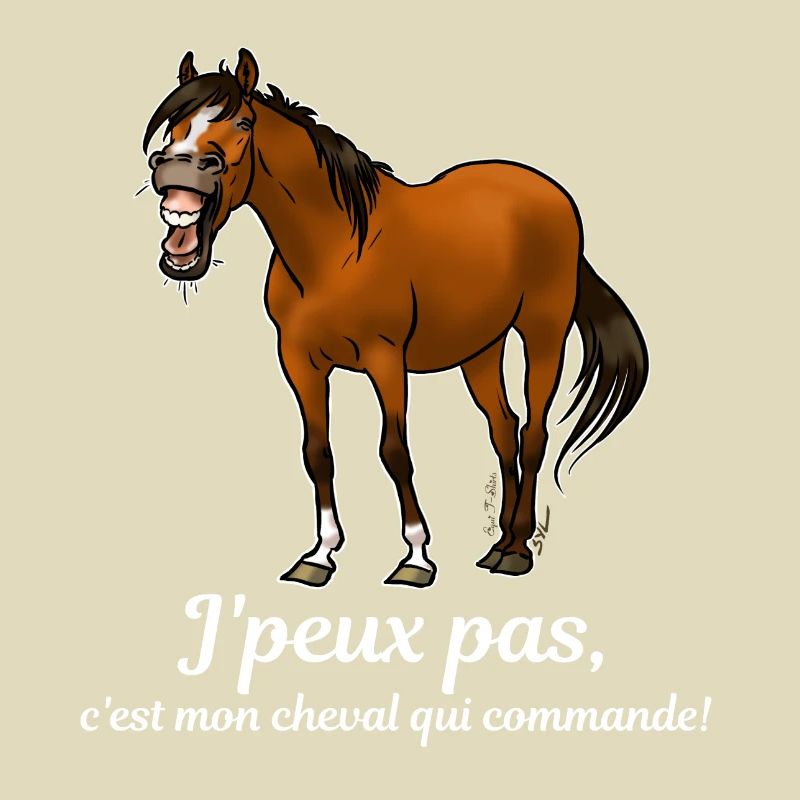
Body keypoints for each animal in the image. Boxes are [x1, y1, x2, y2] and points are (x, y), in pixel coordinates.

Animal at [143, 48, 649, 589]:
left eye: (241, 121)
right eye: (175, 124)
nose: (175, 166)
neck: (336, 249)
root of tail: (553, 194)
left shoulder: (385, 359)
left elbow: (395, 452)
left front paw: (416, 557)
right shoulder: (300, 362)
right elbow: (317, 453)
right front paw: (320, 555)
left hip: (543, 331)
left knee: (533, 433)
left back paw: (517, 552)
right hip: (481, 349)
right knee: (504, 428)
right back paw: (500, 544)